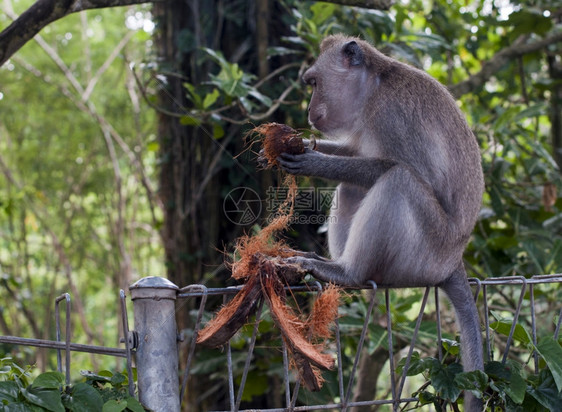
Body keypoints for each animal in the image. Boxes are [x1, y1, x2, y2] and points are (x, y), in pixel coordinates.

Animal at [274, 35, 484, 412]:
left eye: (313, 83)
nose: (309, 113)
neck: (373, 87)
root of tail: (453, 262)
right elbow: (357, 154)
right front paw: (301, 144)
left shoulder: (392, 117)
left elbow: (407, 171)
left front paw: (314, 161)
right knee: (353, 187)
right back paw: (330, 263)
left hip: (424, 254)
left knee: (398, 180)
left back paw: (348, 273)